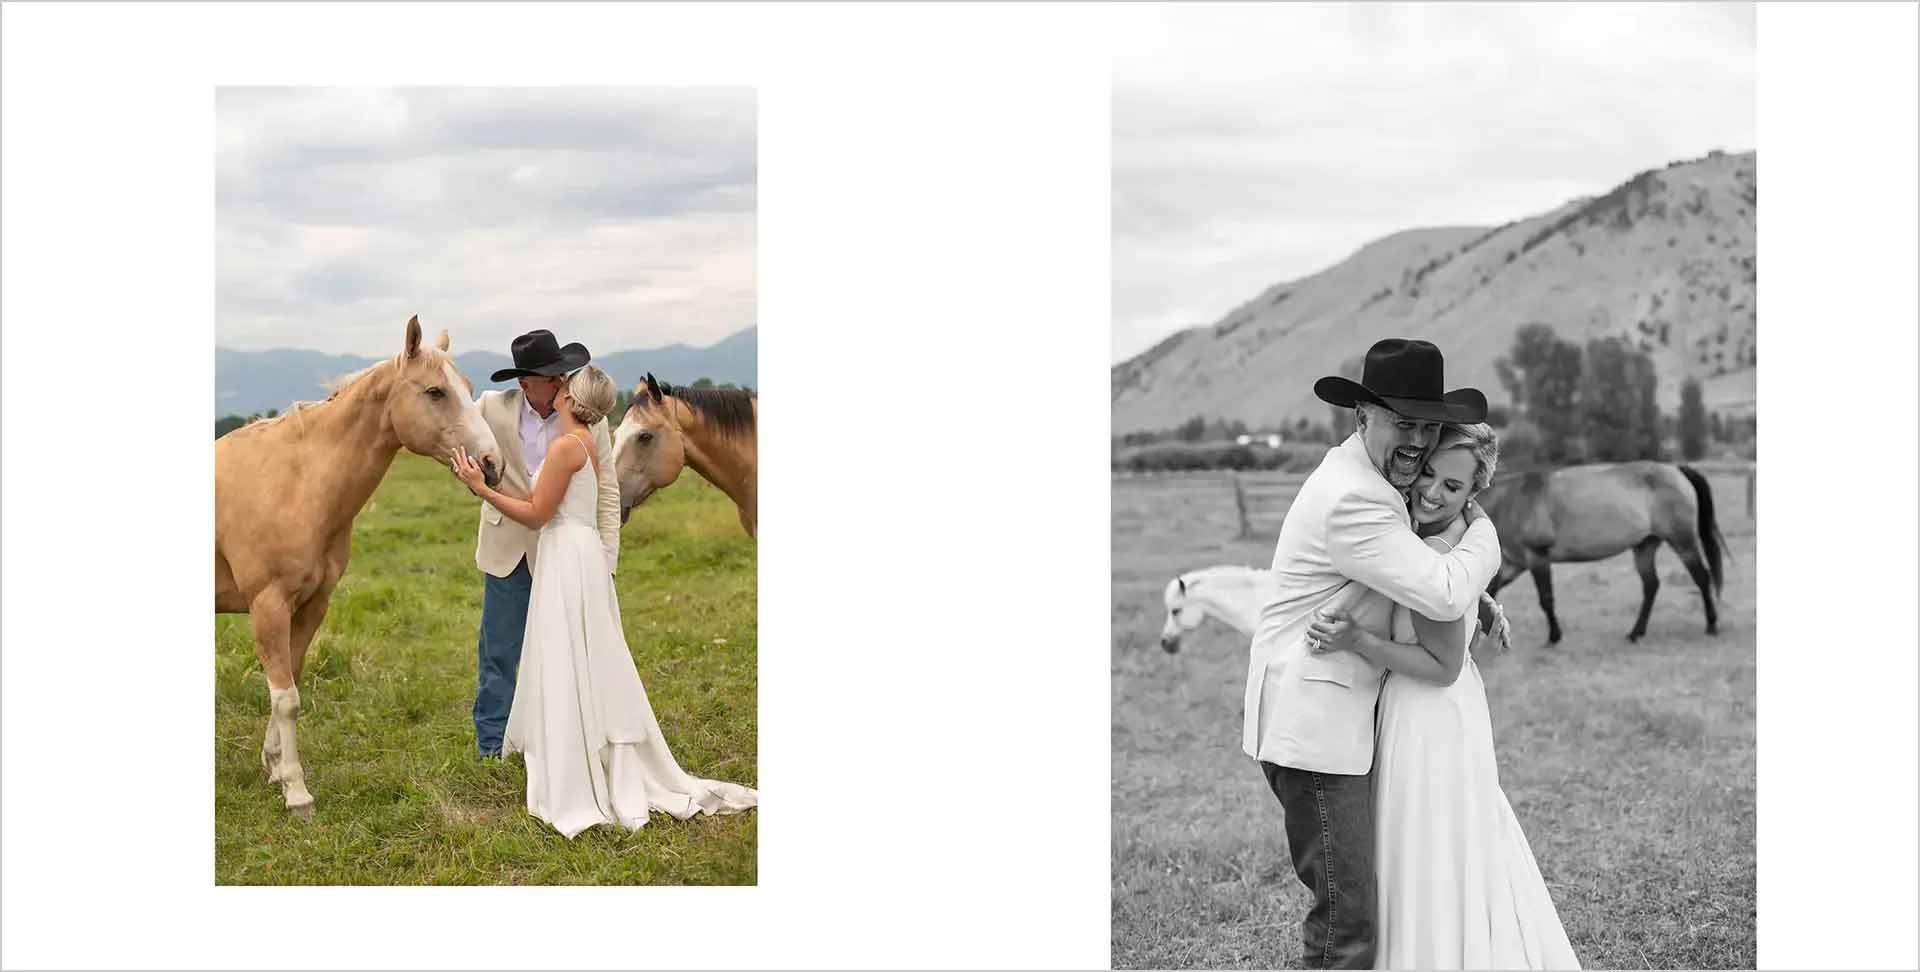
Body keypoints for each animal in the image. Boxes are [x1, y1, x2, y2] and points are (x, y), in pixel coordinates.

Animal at [216, 316, 503, 810]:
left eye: (468, 388)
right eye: (435, 391)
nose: (492, 464)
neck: (297, 482)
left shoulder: (312, 606)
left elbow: (290, 683)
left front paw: (275, 766)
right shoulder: (268, 605)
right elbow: (285, 697)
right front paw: (297, 792)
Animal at [1474, 462, 1735, 645]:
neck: (1510, 501)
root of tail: (1678, 470)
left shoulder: (1537, 556)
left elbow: (1546, 598)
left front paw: (1554, 637)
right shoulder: (1513, 563)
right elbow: (1490, 593)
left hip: (1683, 542)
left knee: (1702, 577)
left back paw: (1711, 626)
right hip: (1645, 546)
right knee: (1651, 586)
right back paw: (1635, 634)